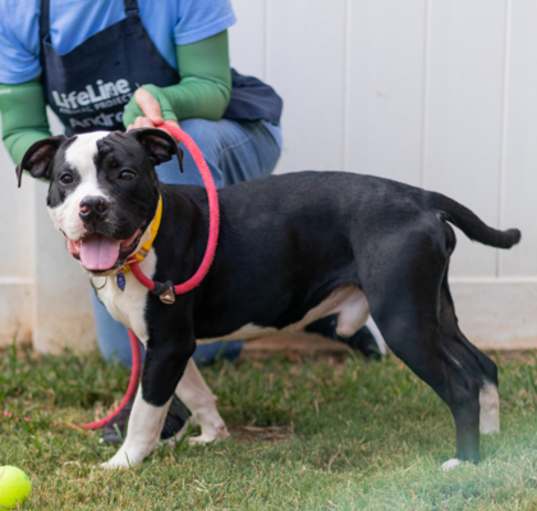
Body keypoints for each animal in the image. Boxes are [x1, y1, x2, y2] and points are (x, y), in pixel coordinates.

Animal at [16, 129, 520, 472]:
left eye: (124, 174)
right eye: (66, 179)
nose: (93, 206)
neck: (143, 243)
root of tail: (421, 196)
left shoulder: (168, 344)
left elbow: (146, 410)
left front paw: (124, 463)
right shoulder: (167, 345)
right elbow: (194, 391)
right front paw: (213, 435)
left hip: (404, 321)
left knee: (460, 386)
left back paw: (466, 461)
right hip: (433, 312)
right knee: (482, 367)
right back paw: (494, 442)